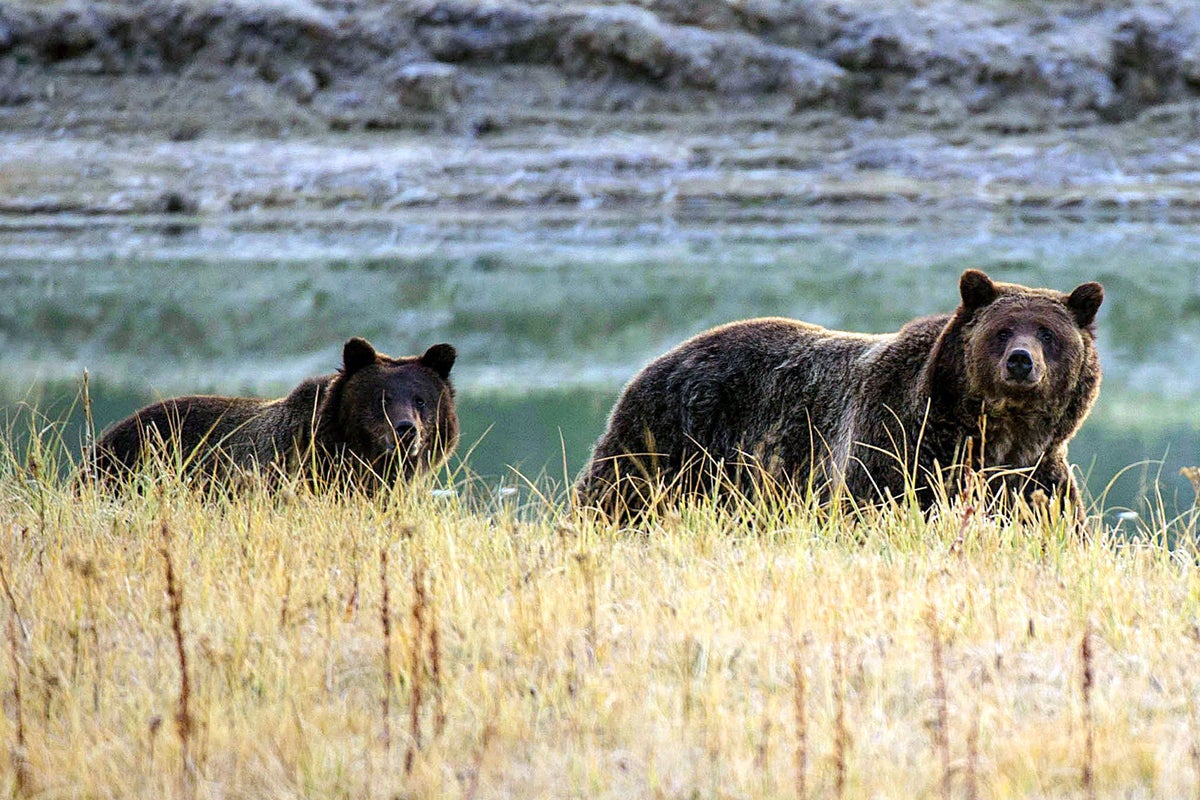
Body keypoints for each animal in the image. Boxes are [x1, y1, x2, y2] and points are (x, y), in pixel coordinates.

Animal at [575, 269, 1103, 522]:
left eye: (1048, 333)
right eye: (1002, 329)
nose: (1021, 361)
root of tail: (656, 360)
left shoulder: (1033, 477)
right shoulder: (895, 447)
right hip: (669, 440)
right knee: (616, 496)